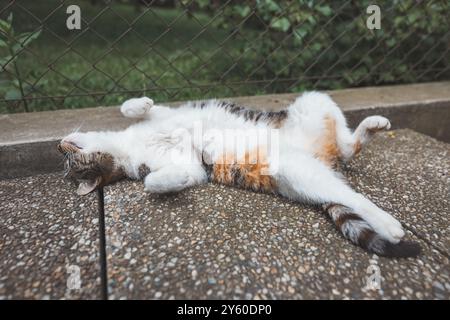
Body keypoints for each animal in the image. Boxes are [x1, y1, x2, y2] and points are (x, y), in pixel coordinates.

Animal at [58, 92, 420, 258]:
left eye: (68, 158)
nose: (60, 144)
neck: (127, 147)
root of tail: (322, 159)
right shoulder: (184, 165)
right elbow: (156, 180)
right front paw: (175, 183)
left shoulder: (164, 115)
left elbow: (134, 107)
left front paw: (139, 103)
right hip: (296, 171)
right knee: (348, 191)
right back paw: (388, 224)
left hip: (313, 101)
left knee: (346, 147)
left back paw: (373, 125)